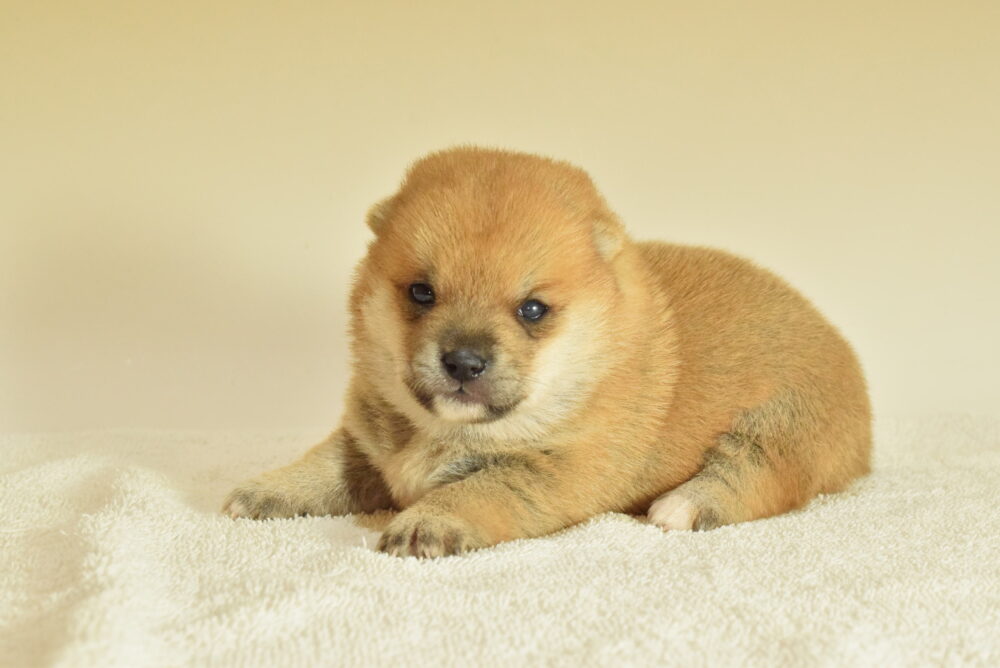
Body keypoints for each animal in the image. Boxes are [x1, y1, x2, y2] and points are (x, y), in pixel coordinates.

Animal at [223, 147, 872, 557]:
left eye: (532, 310)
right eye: (421, 292)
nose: (463, 361)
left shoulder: (558, 467)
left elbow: (479, 489)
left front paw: (426, 522)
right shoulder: (365, 440)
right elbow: (323, 466)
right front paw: (262, 491)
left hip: (783, 423)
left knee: (756, 474)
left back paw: (679, 506)